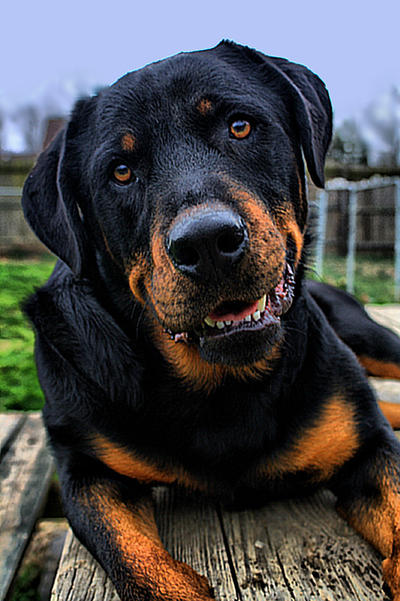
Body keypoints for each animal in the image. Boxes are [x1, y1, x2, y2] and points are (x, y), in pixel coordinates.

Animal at [21, 39, 400, 596]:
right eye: (120, 171)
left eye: (239, 126)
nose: (206, 242)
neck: (221, 385)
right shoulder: (86, 468)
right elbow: (136, 560)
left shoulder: (367, 445)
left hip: (368, 335)